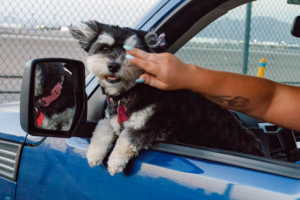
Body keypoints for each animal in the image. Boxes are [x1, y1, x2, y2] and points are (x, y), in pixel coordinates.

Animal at [68, 20, 264, 175]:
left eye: (131, 53)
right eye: (105, 48)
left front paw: (115, 162)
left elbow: (127, 137)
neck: (129, 93)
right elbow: (103, 128)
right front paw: (94, 154)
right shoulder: (113, 120)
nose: (114, 65)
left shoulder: (152, 125)